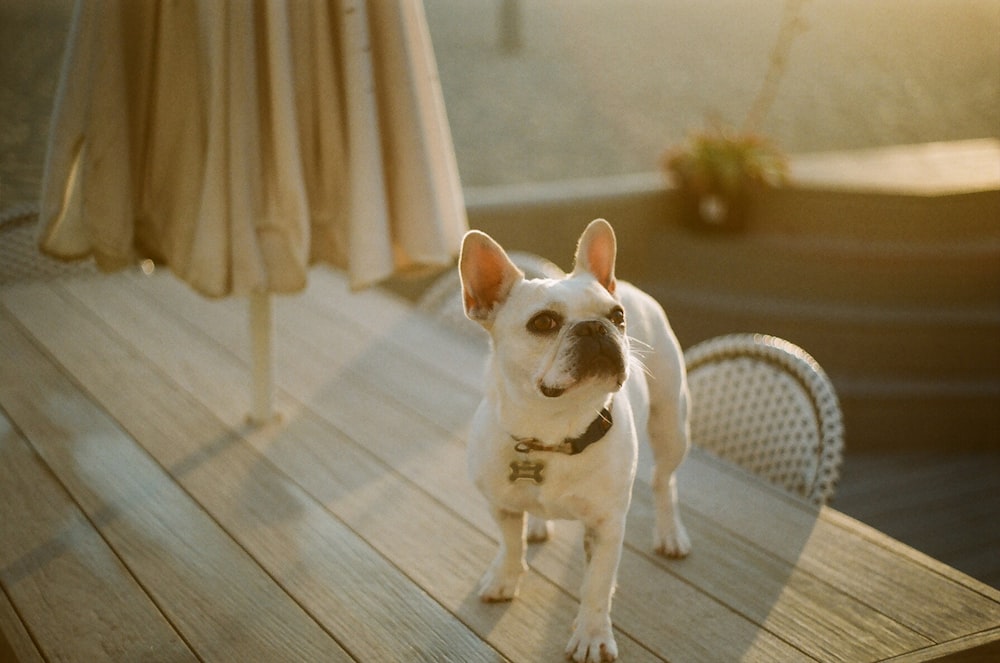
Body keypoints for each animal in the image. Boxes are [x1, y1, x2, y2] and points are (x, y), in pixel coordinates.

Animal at [458, 220, 688, 660]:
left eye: (617, 316)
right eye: (543, 323)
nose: (595, 327)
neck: (553, 431)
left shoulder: (605, 525)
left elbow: (596, 585)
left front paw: (592, 635)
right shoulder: (501, 505)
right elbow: (509, 544)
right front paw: (505, 578)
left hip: (672, 425)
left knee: (664, 481)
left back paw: (670, 534)